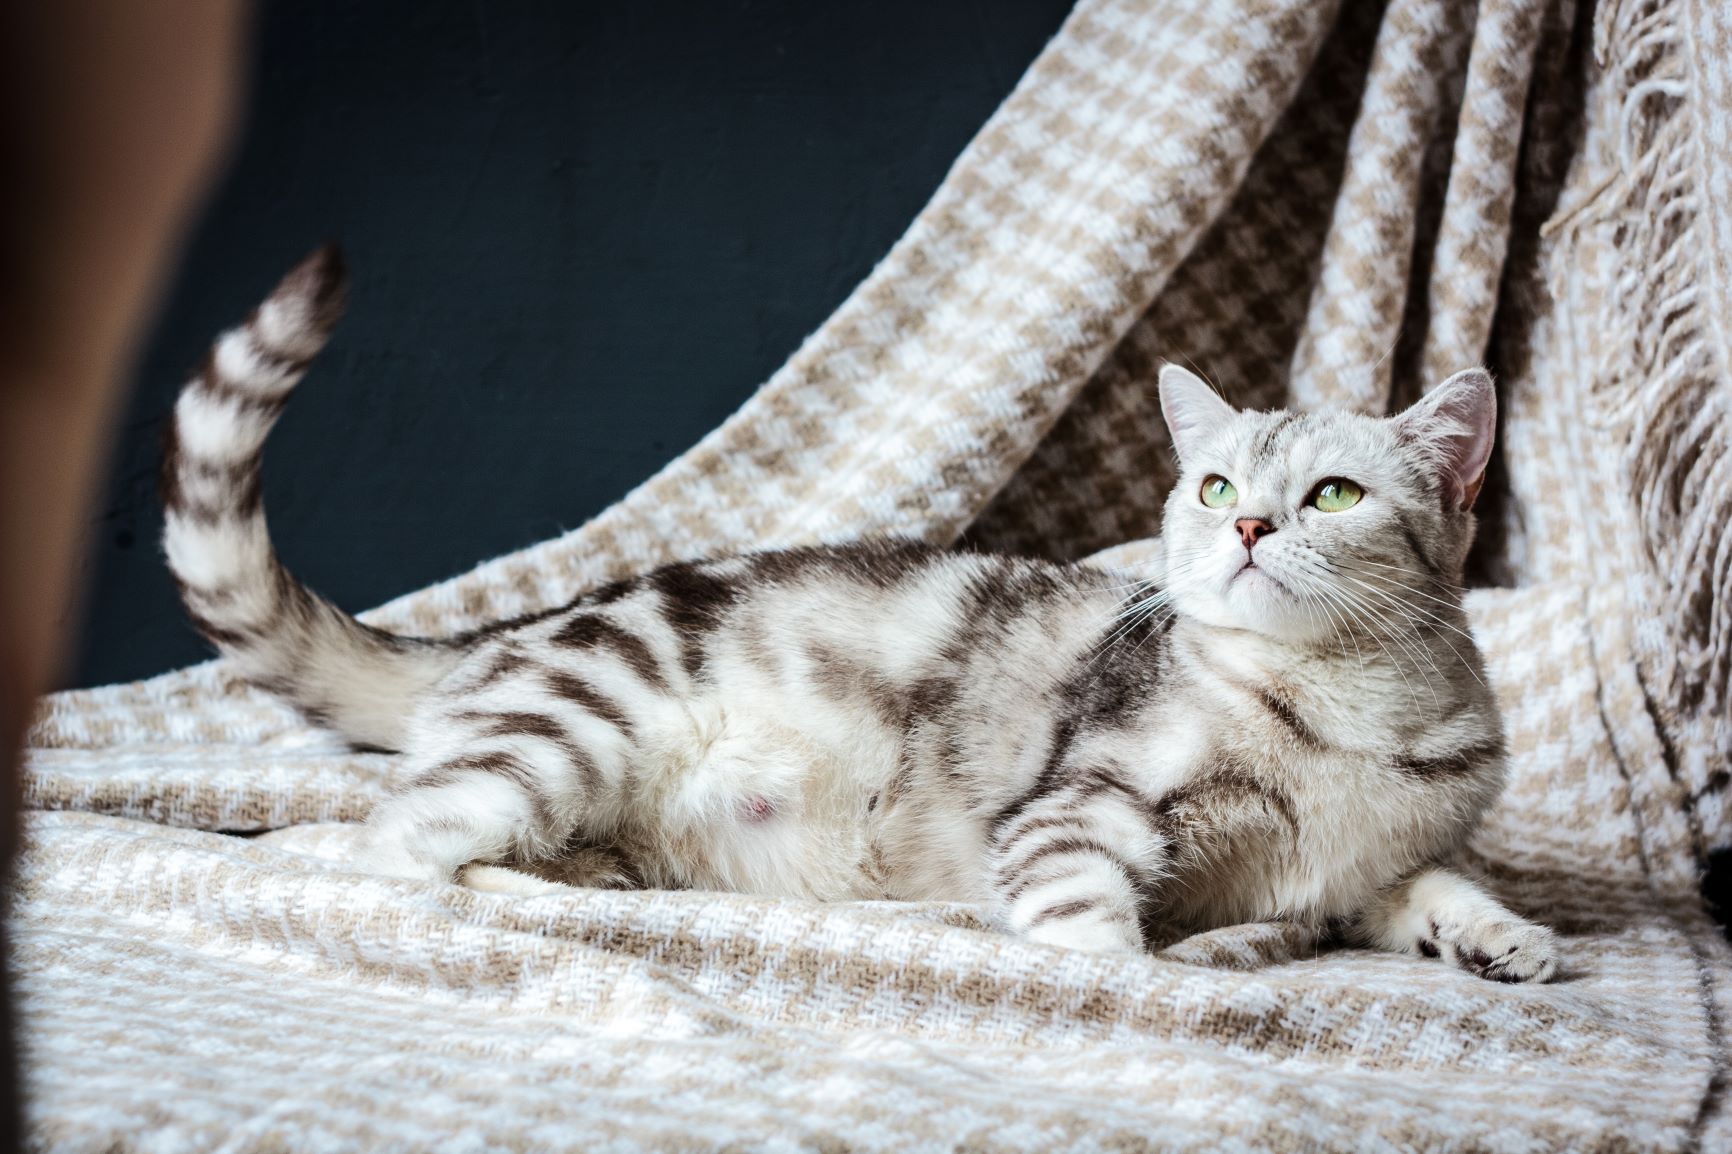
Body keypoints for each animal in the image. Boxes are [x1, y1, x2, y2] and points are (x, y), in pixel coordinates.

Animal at [162, 247, 1558, 977]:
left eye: (1332, 493)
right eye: (1214, 485)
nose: (1251, 527)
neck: (1336, 711)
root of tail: (511, 631)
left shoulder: (1362, 865)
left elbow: (1432, 881)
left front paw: (1505, 938)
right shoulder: (1079, 808)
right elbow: (1100, 936)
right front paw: (1150, 982)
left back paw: (595, 879)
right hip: (567, 733)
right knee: (387, 843)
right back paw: (514, 906)